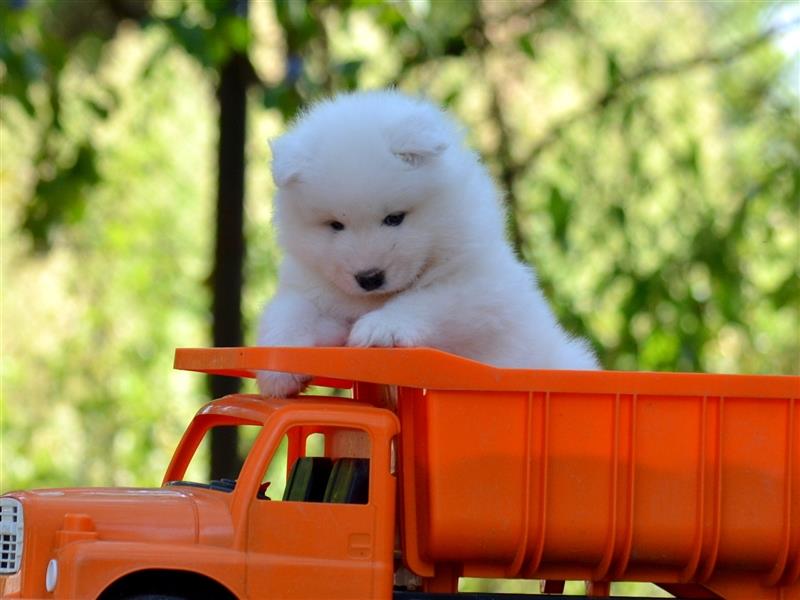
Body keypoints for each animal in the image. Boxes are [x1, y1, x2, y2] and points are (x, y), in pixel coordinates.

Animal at [260, 90, 596, 398]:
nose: (369, 278)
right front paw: (276, 370)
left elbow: (427, 301)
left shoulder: (482, 288)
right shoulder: (310, 287)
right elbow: (289, 311)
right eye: (335, 225)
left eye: (394, 218)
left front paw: (380, 328)